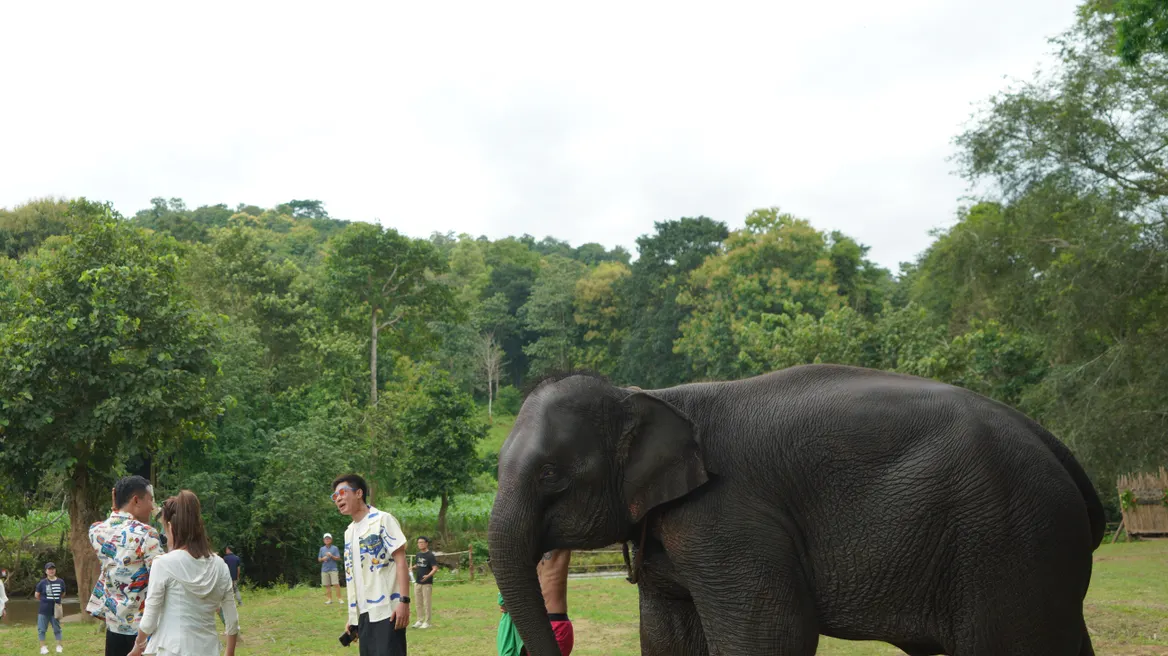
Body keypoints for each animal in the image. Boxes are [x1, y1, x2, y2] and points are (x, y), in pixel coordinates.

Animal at [487, 364, 1105, 656]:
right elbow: (666, 639)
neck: (650, 394)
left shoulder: (727, 519)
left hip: (1010, 543)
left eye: (549, 475)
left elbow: (771, 635)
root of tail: (1057, 448)